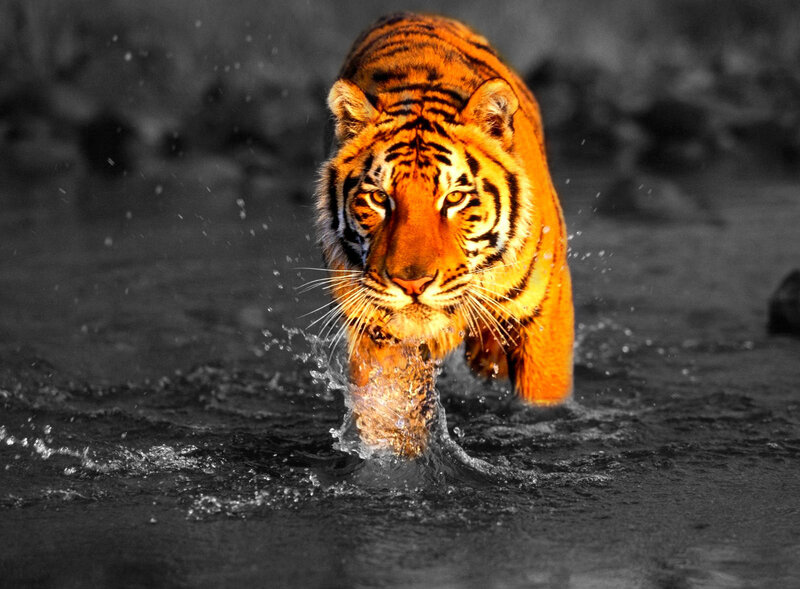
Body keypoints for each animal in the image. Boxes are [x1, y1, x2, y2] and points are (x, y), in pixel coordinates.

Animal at [314, 12, 574, 458]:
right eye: (379, 197)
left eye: (453, 198)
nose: (412, 284)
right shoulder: (378, 332)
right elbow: (387, 415)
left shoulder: (546, 316)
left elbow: (542, 401)